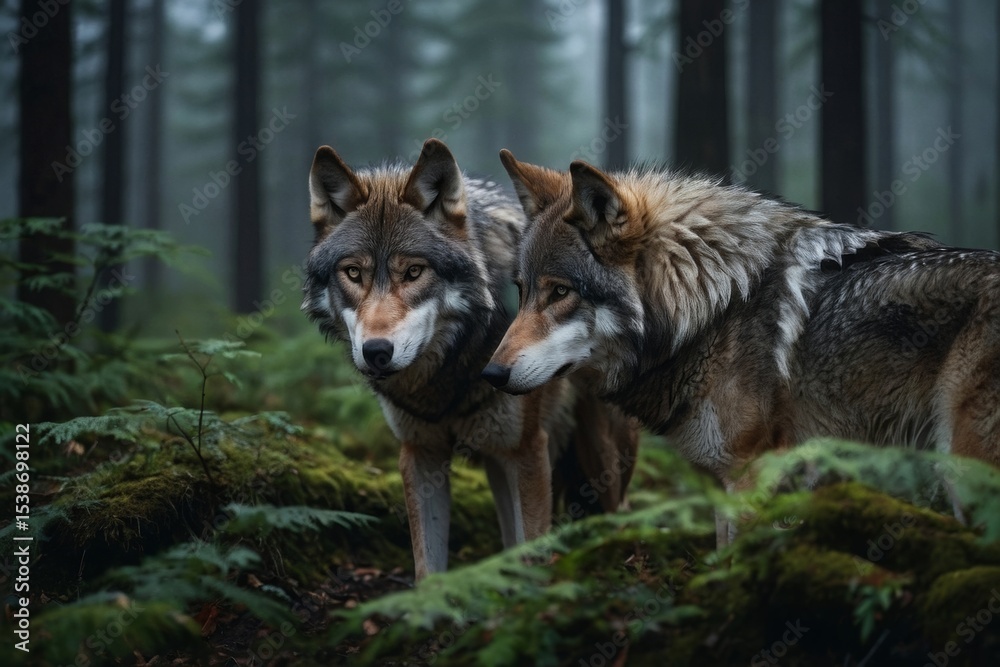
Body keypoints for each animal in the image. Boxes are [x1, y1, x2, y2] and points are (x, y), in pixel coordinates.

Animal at [302, 139, 638, 579]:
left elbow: (531, 554)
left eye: (414, 272)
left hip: (599, 457)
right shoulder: (420, 455)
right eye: (354, 273)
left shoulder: (527, 450)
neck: (448, 376)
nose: (376, 351)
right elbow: (428, 570)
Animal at [483, 151, 1000, 540]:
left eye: (560, 292)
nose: (490, 374)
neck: (716, 308)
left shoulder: (752, 475)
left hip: (965, 472)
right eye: (521, 291)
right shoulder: (723, 482)